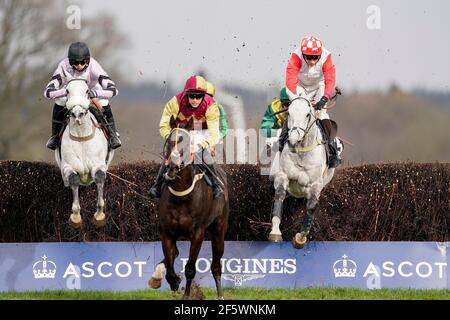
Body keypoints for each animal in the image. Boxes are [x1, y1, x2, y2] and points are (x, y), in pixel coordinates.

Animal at [55, 78, 114, 228]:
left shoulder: (98, 164)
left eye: (87, 91)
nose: (77, 114)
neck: (81, 136)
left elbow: (99, 176)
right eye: (67, 91)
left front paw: (99, 214)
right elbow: (73, 179)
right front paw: (76, 216)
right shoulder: (68, 166)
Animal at [149, 116, 230, 298]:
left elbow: (190, 269)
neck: (182, 196)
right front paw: (172, 281)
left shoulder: (198, 233)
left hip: (219, 228)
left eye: (187, 143)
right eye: (169, 142)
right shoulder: (166, 232)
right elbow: (170, 264)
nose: (172, 167)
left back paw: (220, 293)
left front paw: (186, 294)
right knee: (174, 254)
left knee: (216, 265)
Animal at [268, 96, 334, 249]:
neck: (302, 152)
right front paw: (275, 232)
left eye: (307, 114)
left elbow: (311, 207)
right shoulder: (282, 176)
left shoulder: (316, 185)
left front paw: (300, 238)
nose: (293, 140)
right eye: (289, 113)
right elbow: (279, 196)